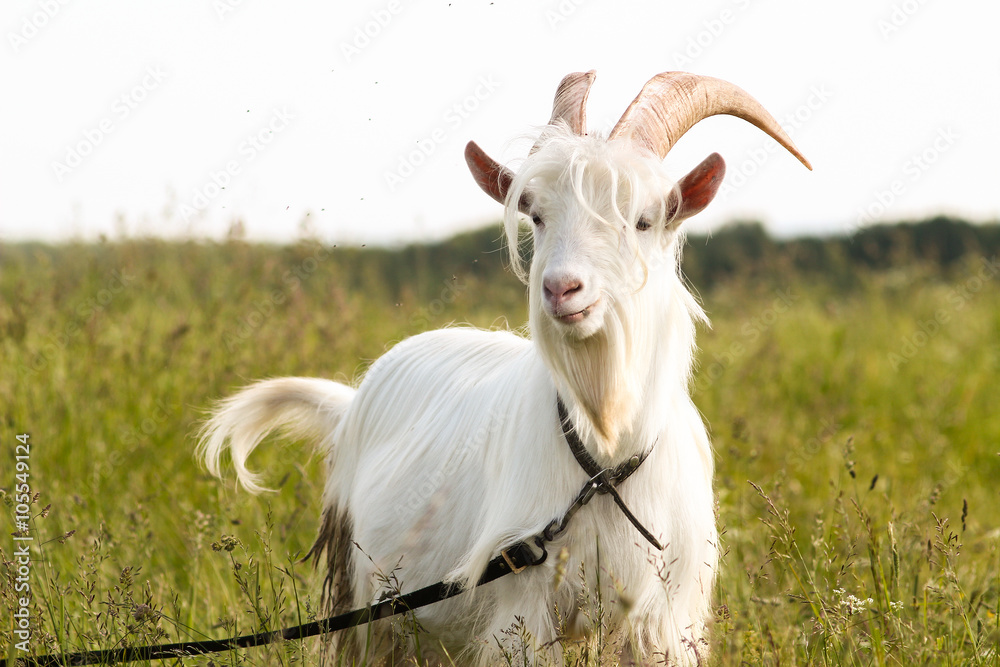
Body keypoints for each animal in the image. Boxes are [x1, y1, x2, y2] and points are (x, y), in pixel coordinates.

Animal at [198, 71, 811, 665]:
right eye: (536, 216)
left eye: (643, 221)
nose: (561, 288)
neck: (603, 462)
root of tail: (351, 403)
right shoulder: (522, 607)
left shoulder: (664, 619)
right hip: (368, 609)